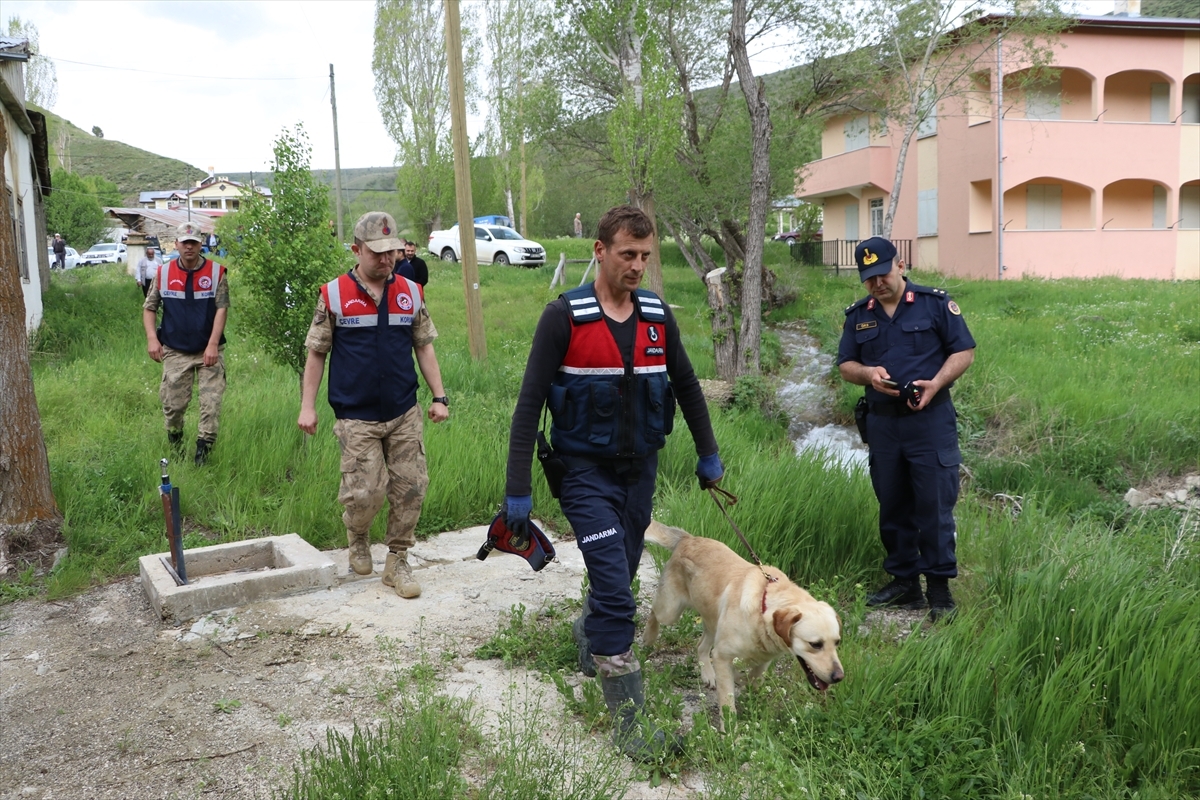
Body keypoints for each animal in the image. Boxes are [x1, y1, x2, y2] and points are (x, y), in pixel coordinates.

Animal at [648, 520, 844, 724]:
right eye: (815, 644)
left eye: (837, 642)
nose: (839, 677)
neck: (762, 609)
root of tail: (688, 538)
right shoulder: (722, 655)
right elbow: (728, 701)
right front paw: (729, 728)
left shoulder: (764, 659)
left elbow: (752, 678)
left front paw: (742, 681)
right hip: (670, 611)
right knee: (654, 612)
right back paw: (649, 637)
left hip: (712, 620)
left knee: (701, 646)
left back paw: (708, 674)